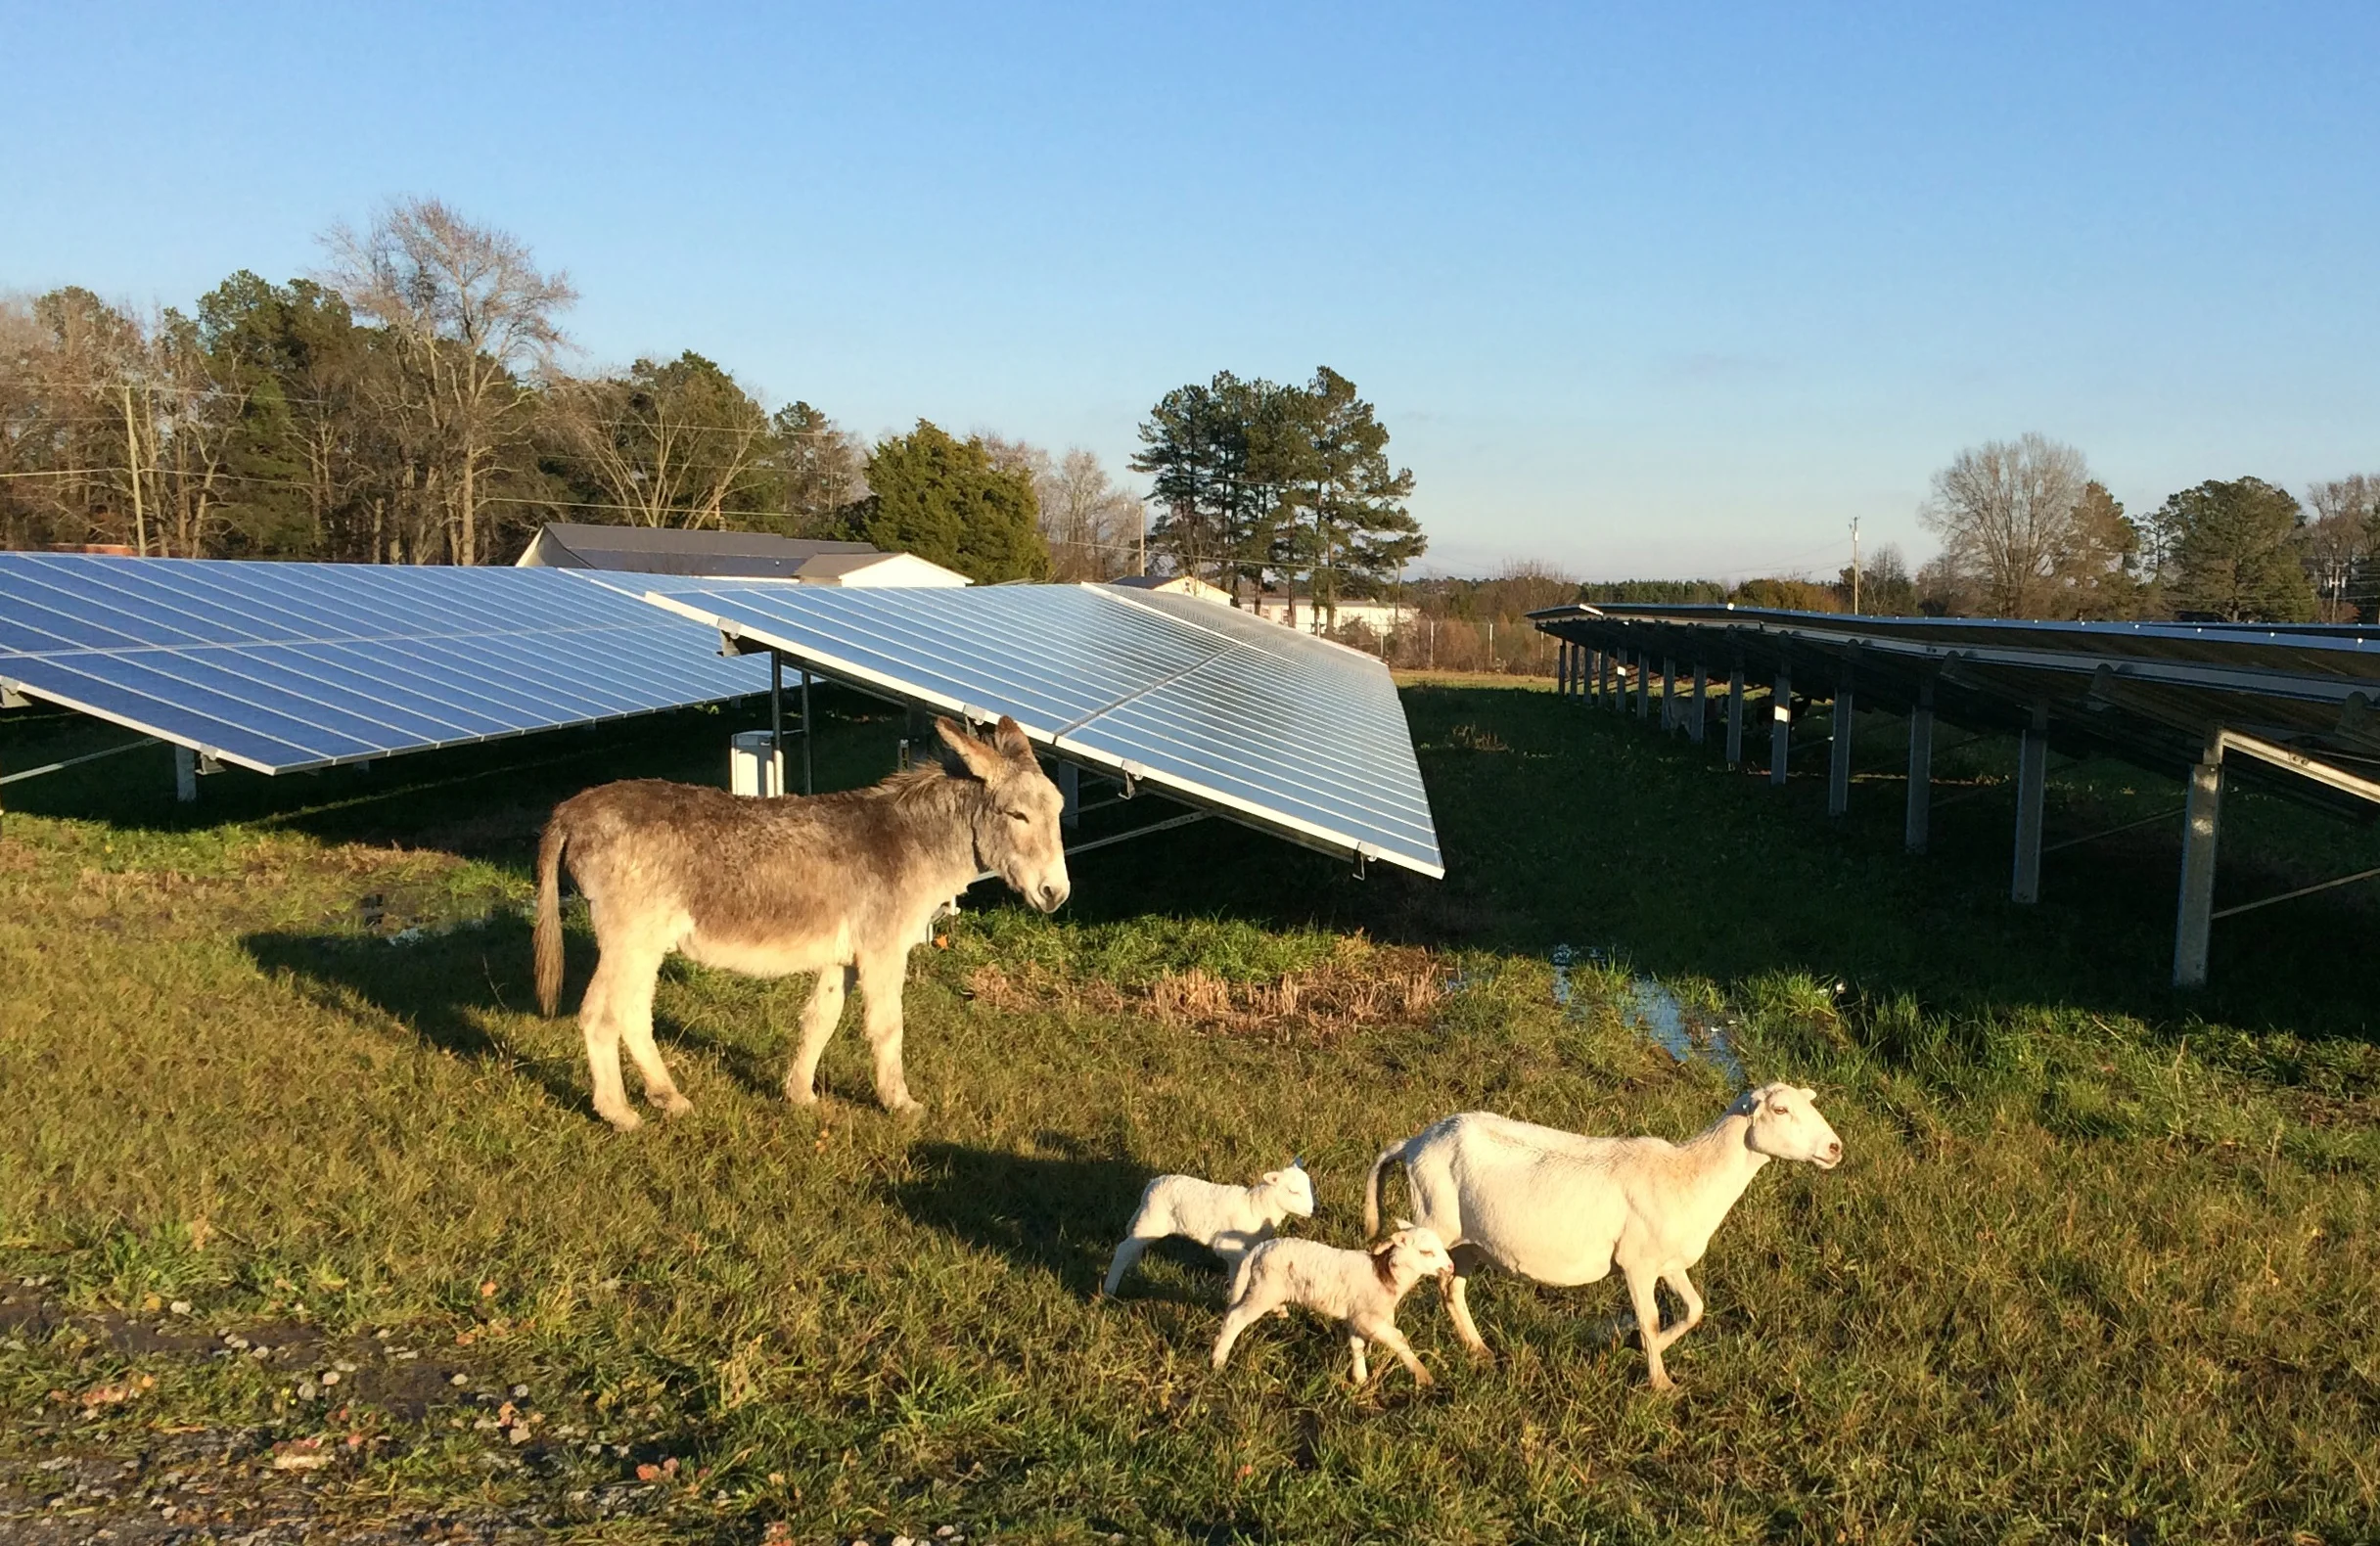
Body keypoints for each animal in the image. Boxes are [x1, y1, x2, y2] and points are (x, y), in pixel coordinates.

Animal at [1100, 1161, 1316, 1298]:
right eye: (1293, 1191)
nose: (1312, 1210)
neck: (1256, 1206)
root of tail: (1152, 1185)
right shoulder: (1225, 1244)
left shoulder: (1234, 1252)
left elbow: (1236, 1272)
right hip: (1153, 1221)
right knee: (1124, 1248)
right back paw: (1109, 1290)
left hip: (1148, 1222)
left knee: (1134, 1245)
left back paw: (1132, 1271)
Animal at [1209, 1222, 1455, 1386]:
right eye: (1426, 1252)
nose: (1451, 1267)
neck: (1386, 1276)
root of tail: (1260, 1249)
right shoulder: (1368, 1317)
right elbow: (1398, 1338)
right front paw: (1422, 1375)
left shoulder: (1356, 1316)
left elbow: (1357, 1345)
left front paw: (1360, 1380)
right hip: (1266, 1288)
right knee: (1236, 1318)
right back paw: (1218, 1361)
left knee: (1232, 1311)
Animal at [1364, 1083, 1844, 1389]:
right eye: (1780, 1111)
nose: (1835, 1148)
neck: (1689, 1176)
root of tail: (1414, 1143)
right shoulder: (1638, 1263)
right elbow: (1652, 1318)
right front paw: (1660, 1382)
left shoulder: (1669, 1262)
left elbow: (1694, 1309)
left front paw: (1634, 1346)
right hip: (1435, 1218)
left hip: (1466, 1242)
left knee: (1452, 1288)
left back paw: (1479, 1350)